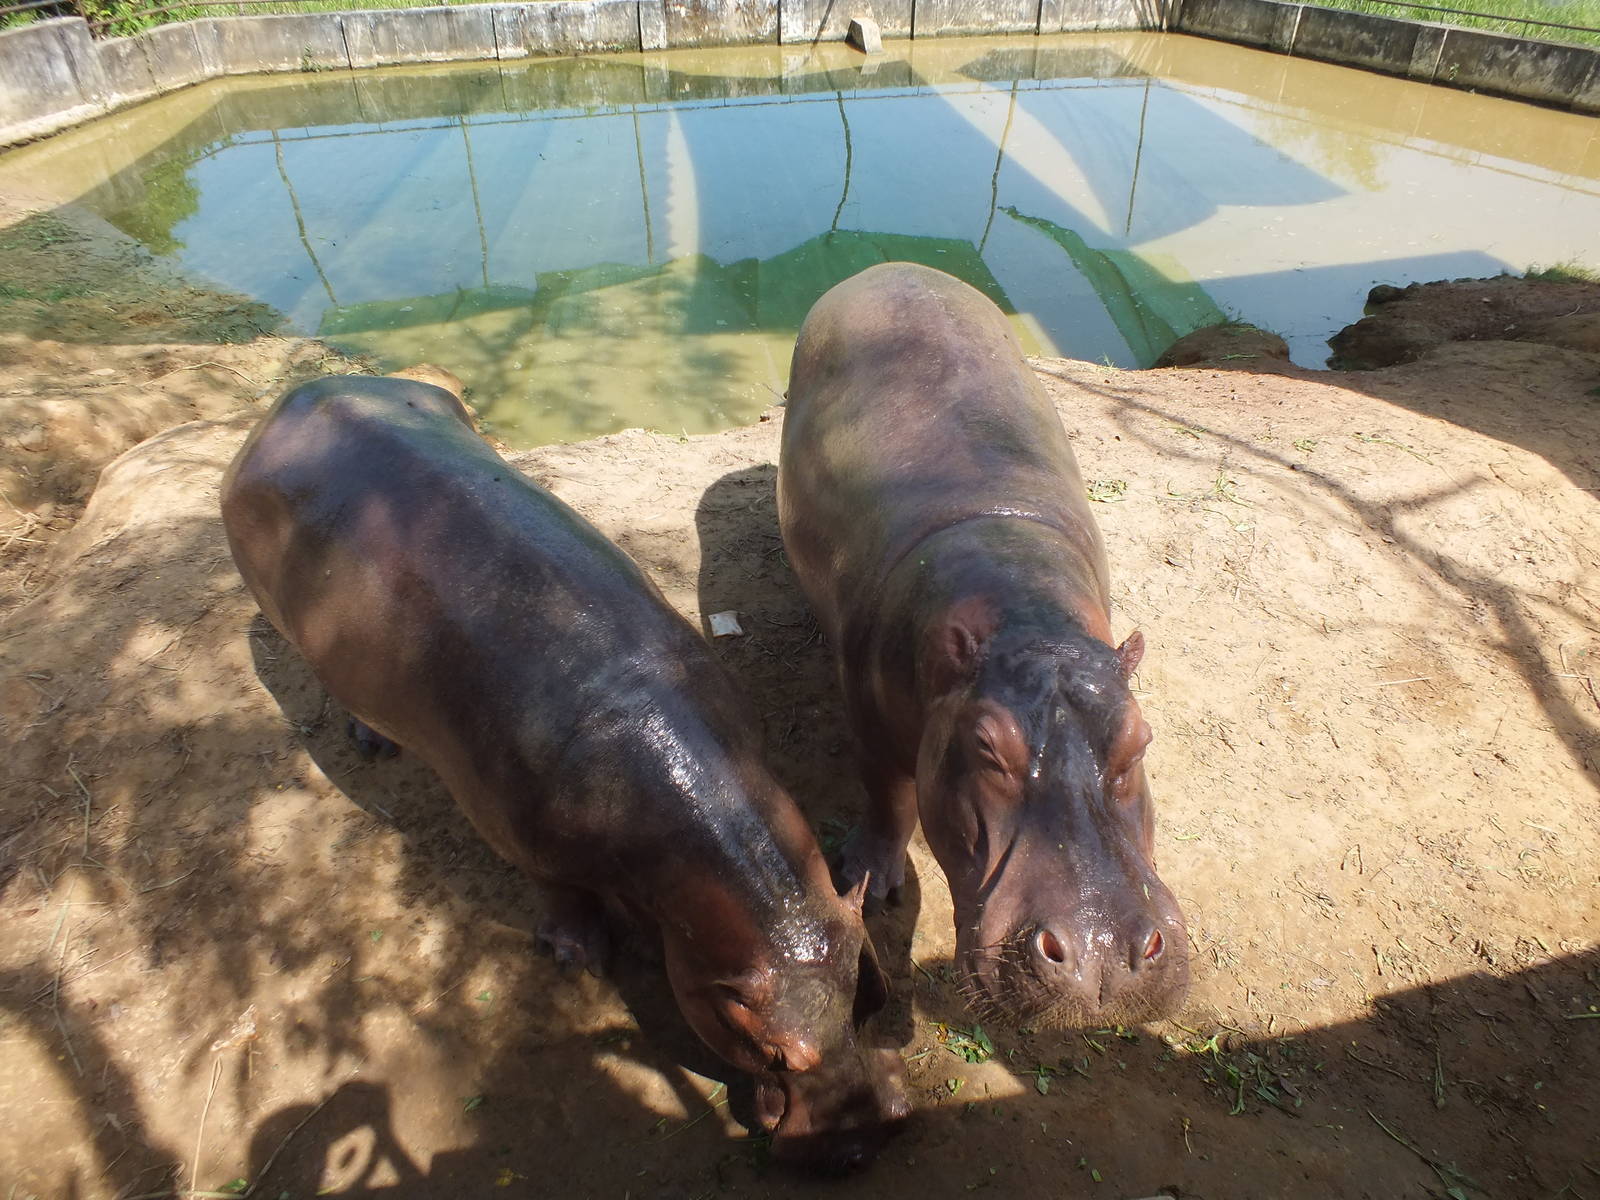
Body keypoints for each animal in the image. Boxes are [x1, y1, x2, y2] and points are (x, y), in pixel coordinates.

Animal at [220, 367, 906, 1170]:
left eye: (873, 997)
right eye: (769, 1049)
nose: (867, 1138)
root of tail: (301, 392)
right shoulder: (515, 833)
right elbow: (560, 893)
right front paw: (580, 955)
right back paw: (371, 741)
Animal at [777, 265, 1190, 1029]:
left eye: (1139, 741)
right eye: (987, 747)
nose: (1103, 962)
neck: (1028, 619)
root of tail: (890, 266)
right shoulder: (871, 722)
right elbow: (889, 797)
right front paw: (868, 880)